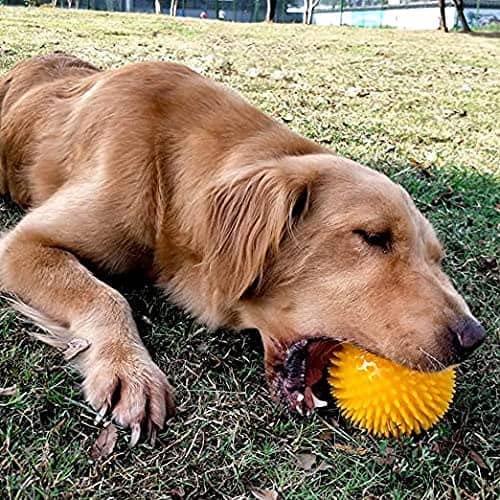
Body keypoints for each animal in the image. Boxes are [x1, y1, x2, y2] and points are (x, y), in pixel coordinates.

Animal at [0, 53, 484, 446]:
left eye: (436, 258)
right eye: (374, 236)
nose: (474, 338)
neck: (170, 179)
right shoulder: (21, 244)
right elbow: (105, 294)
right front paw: (128, 369)